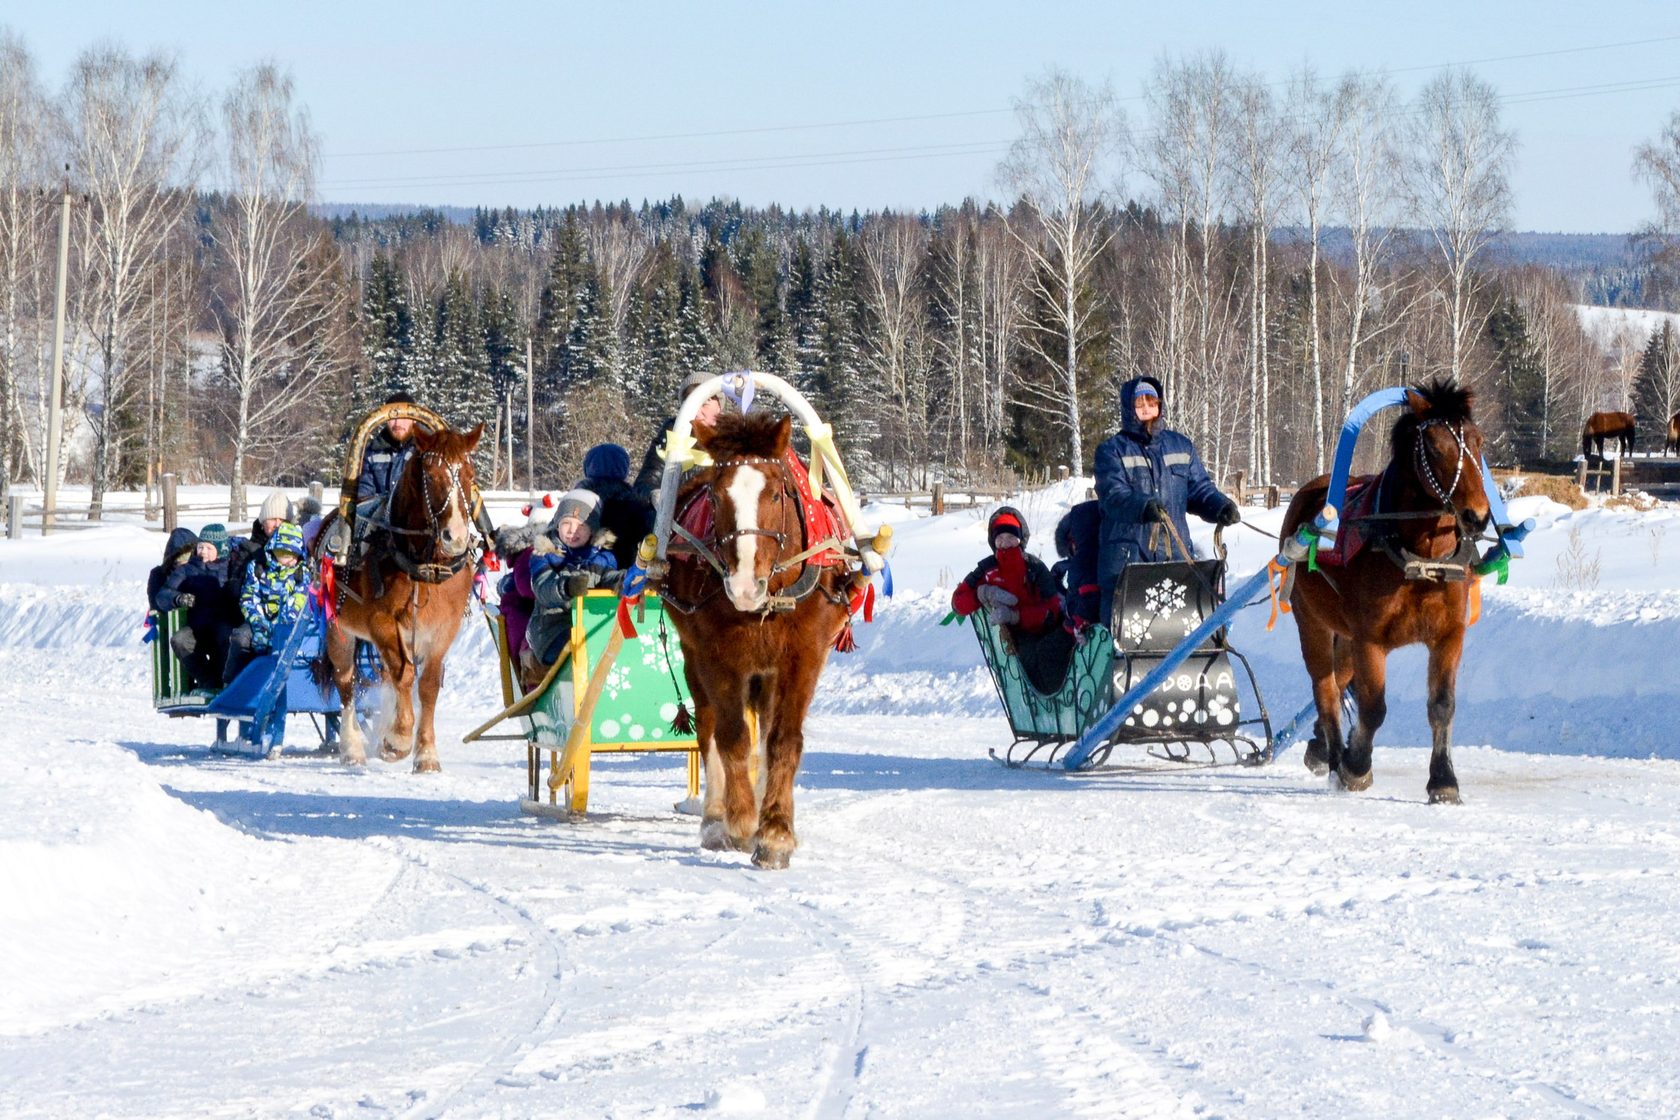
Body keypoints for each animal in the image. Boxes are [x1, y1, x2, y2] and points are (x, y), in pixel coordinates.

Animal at [324, 423, 487, 772]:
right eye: (432, 474)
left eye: (470, 473)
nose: (456, 537)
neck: (424, 564)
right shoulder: (381, 622)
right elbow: (405, 675)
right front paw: (398, 739)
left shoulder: (442, 630)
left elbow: (427, 686)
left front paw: (425, 753)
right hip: (338, 629)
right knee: (347, 683)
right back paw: (353, 748)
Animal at [661, 411, 860, 866]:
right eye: (717, 498)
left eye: (775, 492)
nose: (744, 585)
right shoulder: (717, 656)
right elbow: (732, 737)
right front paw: (739, 821)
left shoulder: (803, 656)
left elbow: (782, 740)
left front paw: (775, 833)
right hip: (693, 655)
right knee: (708, 725)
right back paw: (715, 817)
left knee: (767, 729)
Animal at [1283, 386, 1498, 805]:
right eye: (1434, 447)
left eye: (1478, 440)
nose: (1477, 516)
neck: (1422, 560)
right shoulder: (1370, 639)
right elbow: (1373, 708)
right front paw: (1355, 767)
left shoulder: (1449, 635)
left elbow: (1442, 706)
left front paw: (1443, 780)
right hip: (1312, 623)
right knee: (1325, 689)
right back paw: (1335, 757)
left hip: (1344, 636)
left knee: (1337, 680)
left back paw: (1322, 748)